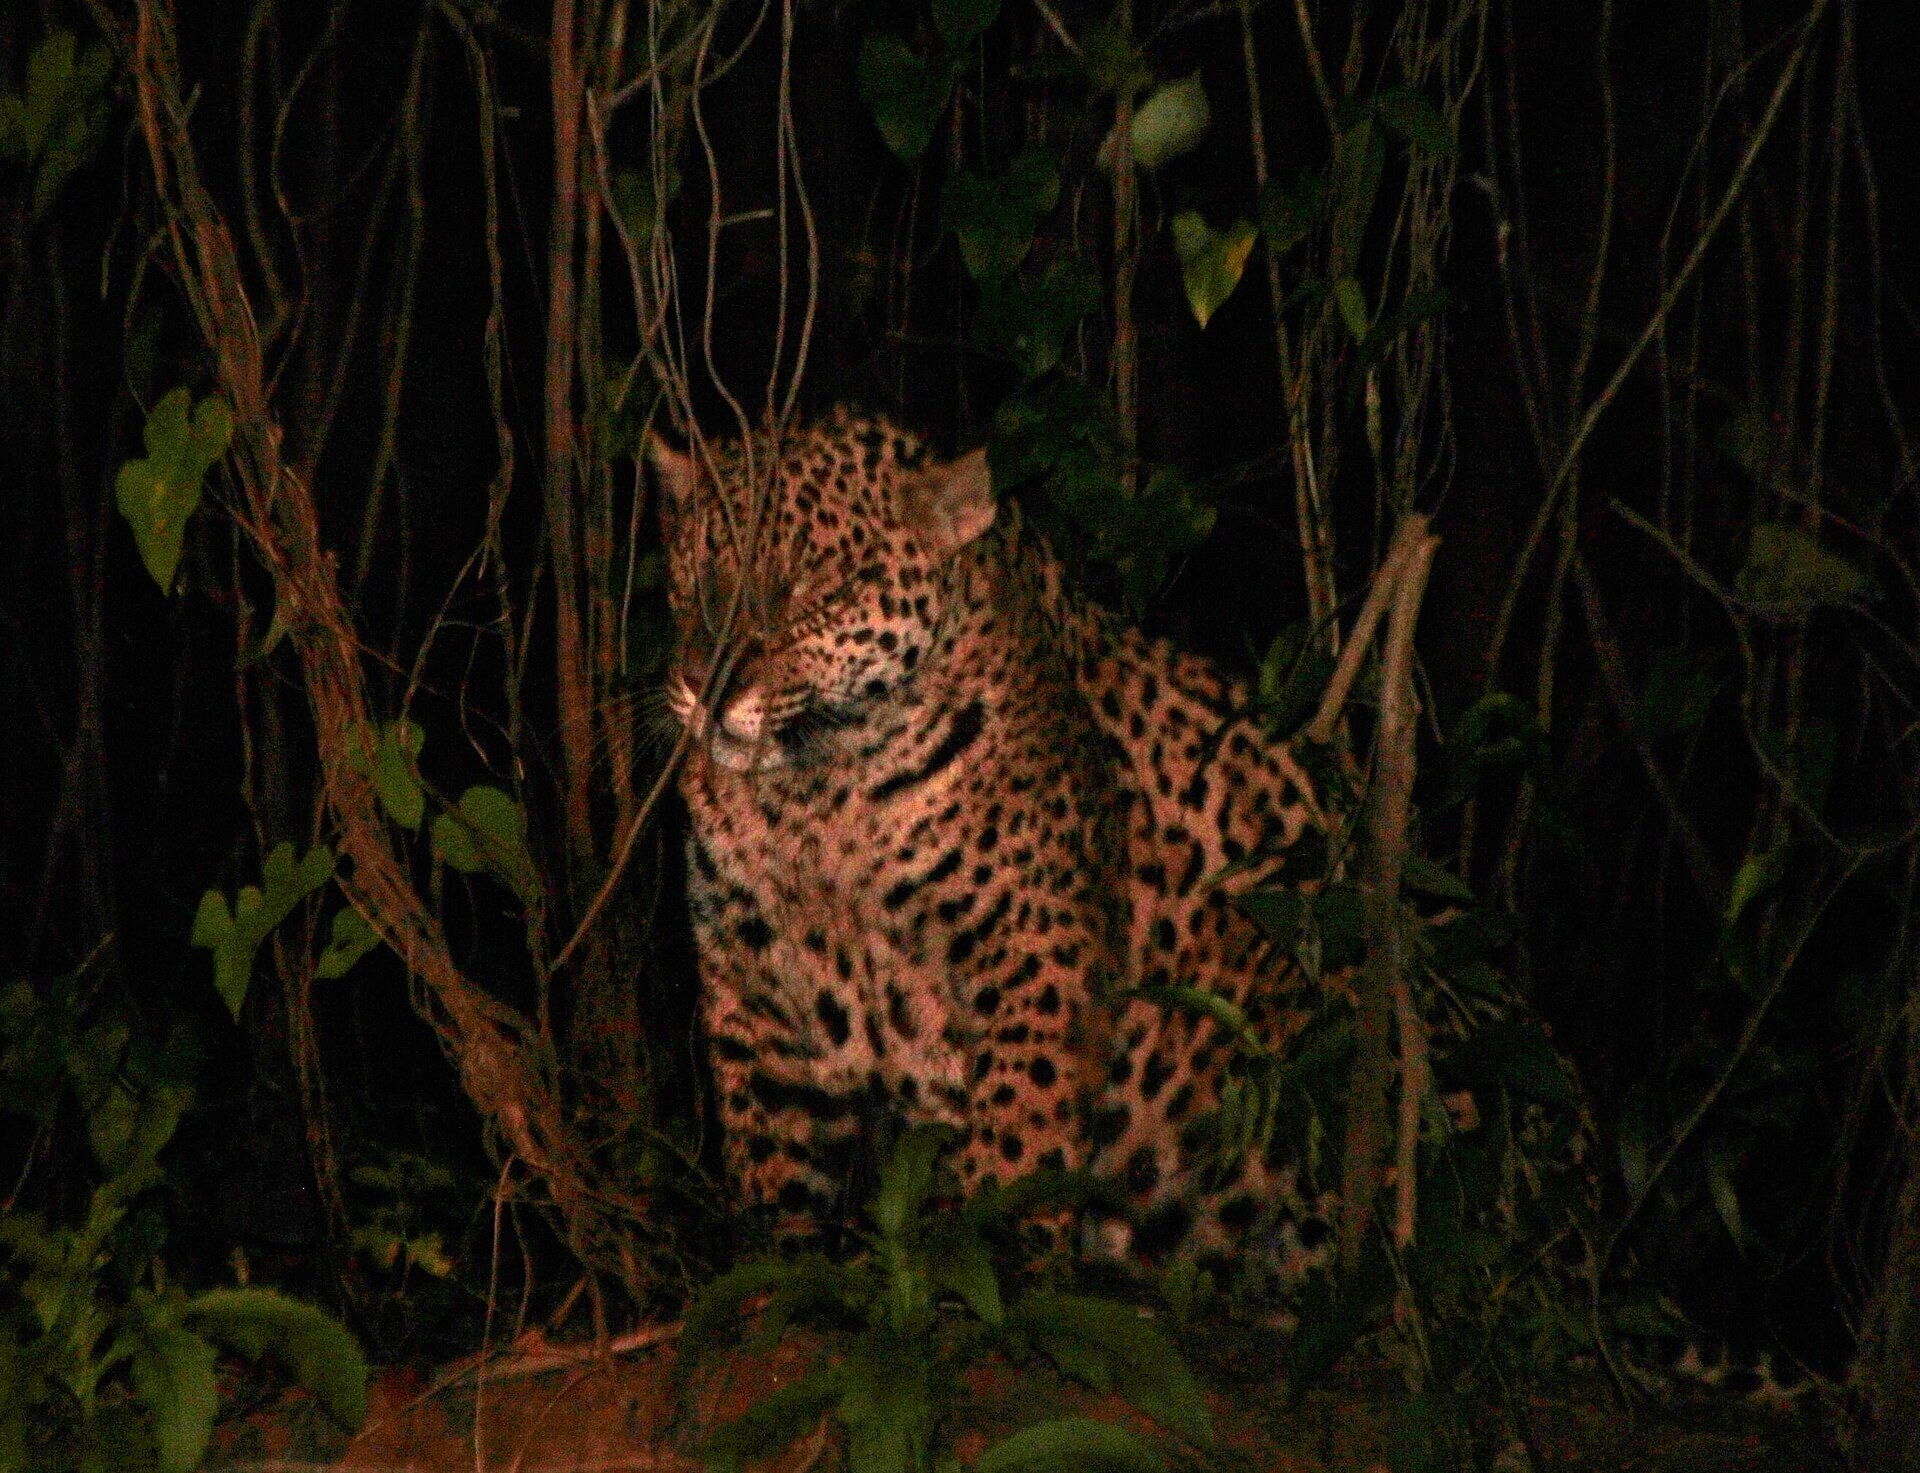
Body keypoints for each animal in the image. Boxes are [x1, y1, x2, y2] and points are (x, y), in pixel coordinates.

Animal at [649, 407, 1346, 1273]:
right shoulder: (754, 986)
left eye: (809, 583)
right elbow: (772, 1174)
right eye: (692, 569)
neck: (817, 797)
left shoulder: (1036, 949)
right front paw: (770, 1270)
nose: (703, 685)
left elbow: (1021, 1127)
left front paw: (983, 1255)